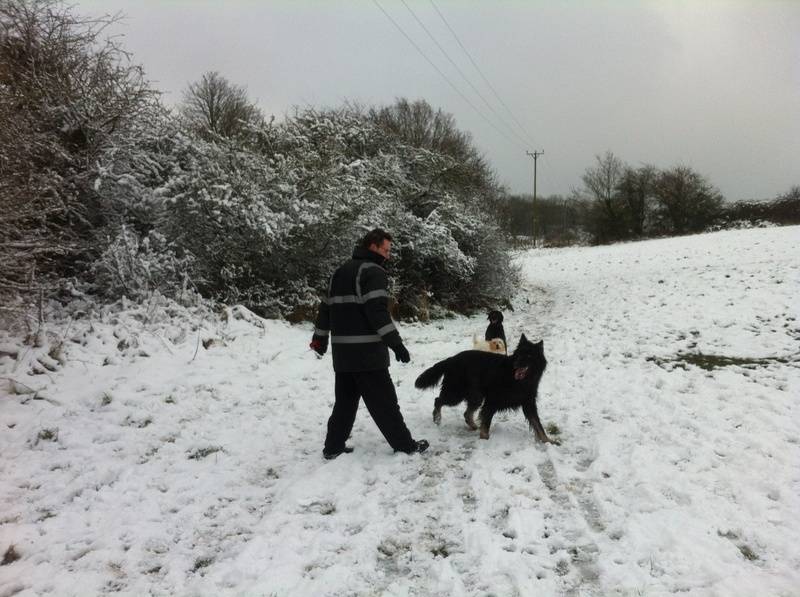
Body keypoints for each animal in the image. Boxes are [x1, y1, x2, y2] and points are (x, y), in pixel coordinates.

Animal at [415, 335, 558, 444]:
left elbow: (538, 424)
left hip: (475, 396)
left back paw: (473, 426)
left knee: (466, 413)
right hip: (456, 393)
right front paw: (484, 439)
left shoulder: (529, 404)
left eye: (529, 356)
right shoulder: (491, 401)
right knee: (438, 400)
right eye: (518, 354)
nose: (516, 365)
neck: (518, 380)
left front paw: (548, 441)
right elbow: (486, 422)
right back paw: (437, 418)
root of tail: (451, 359)